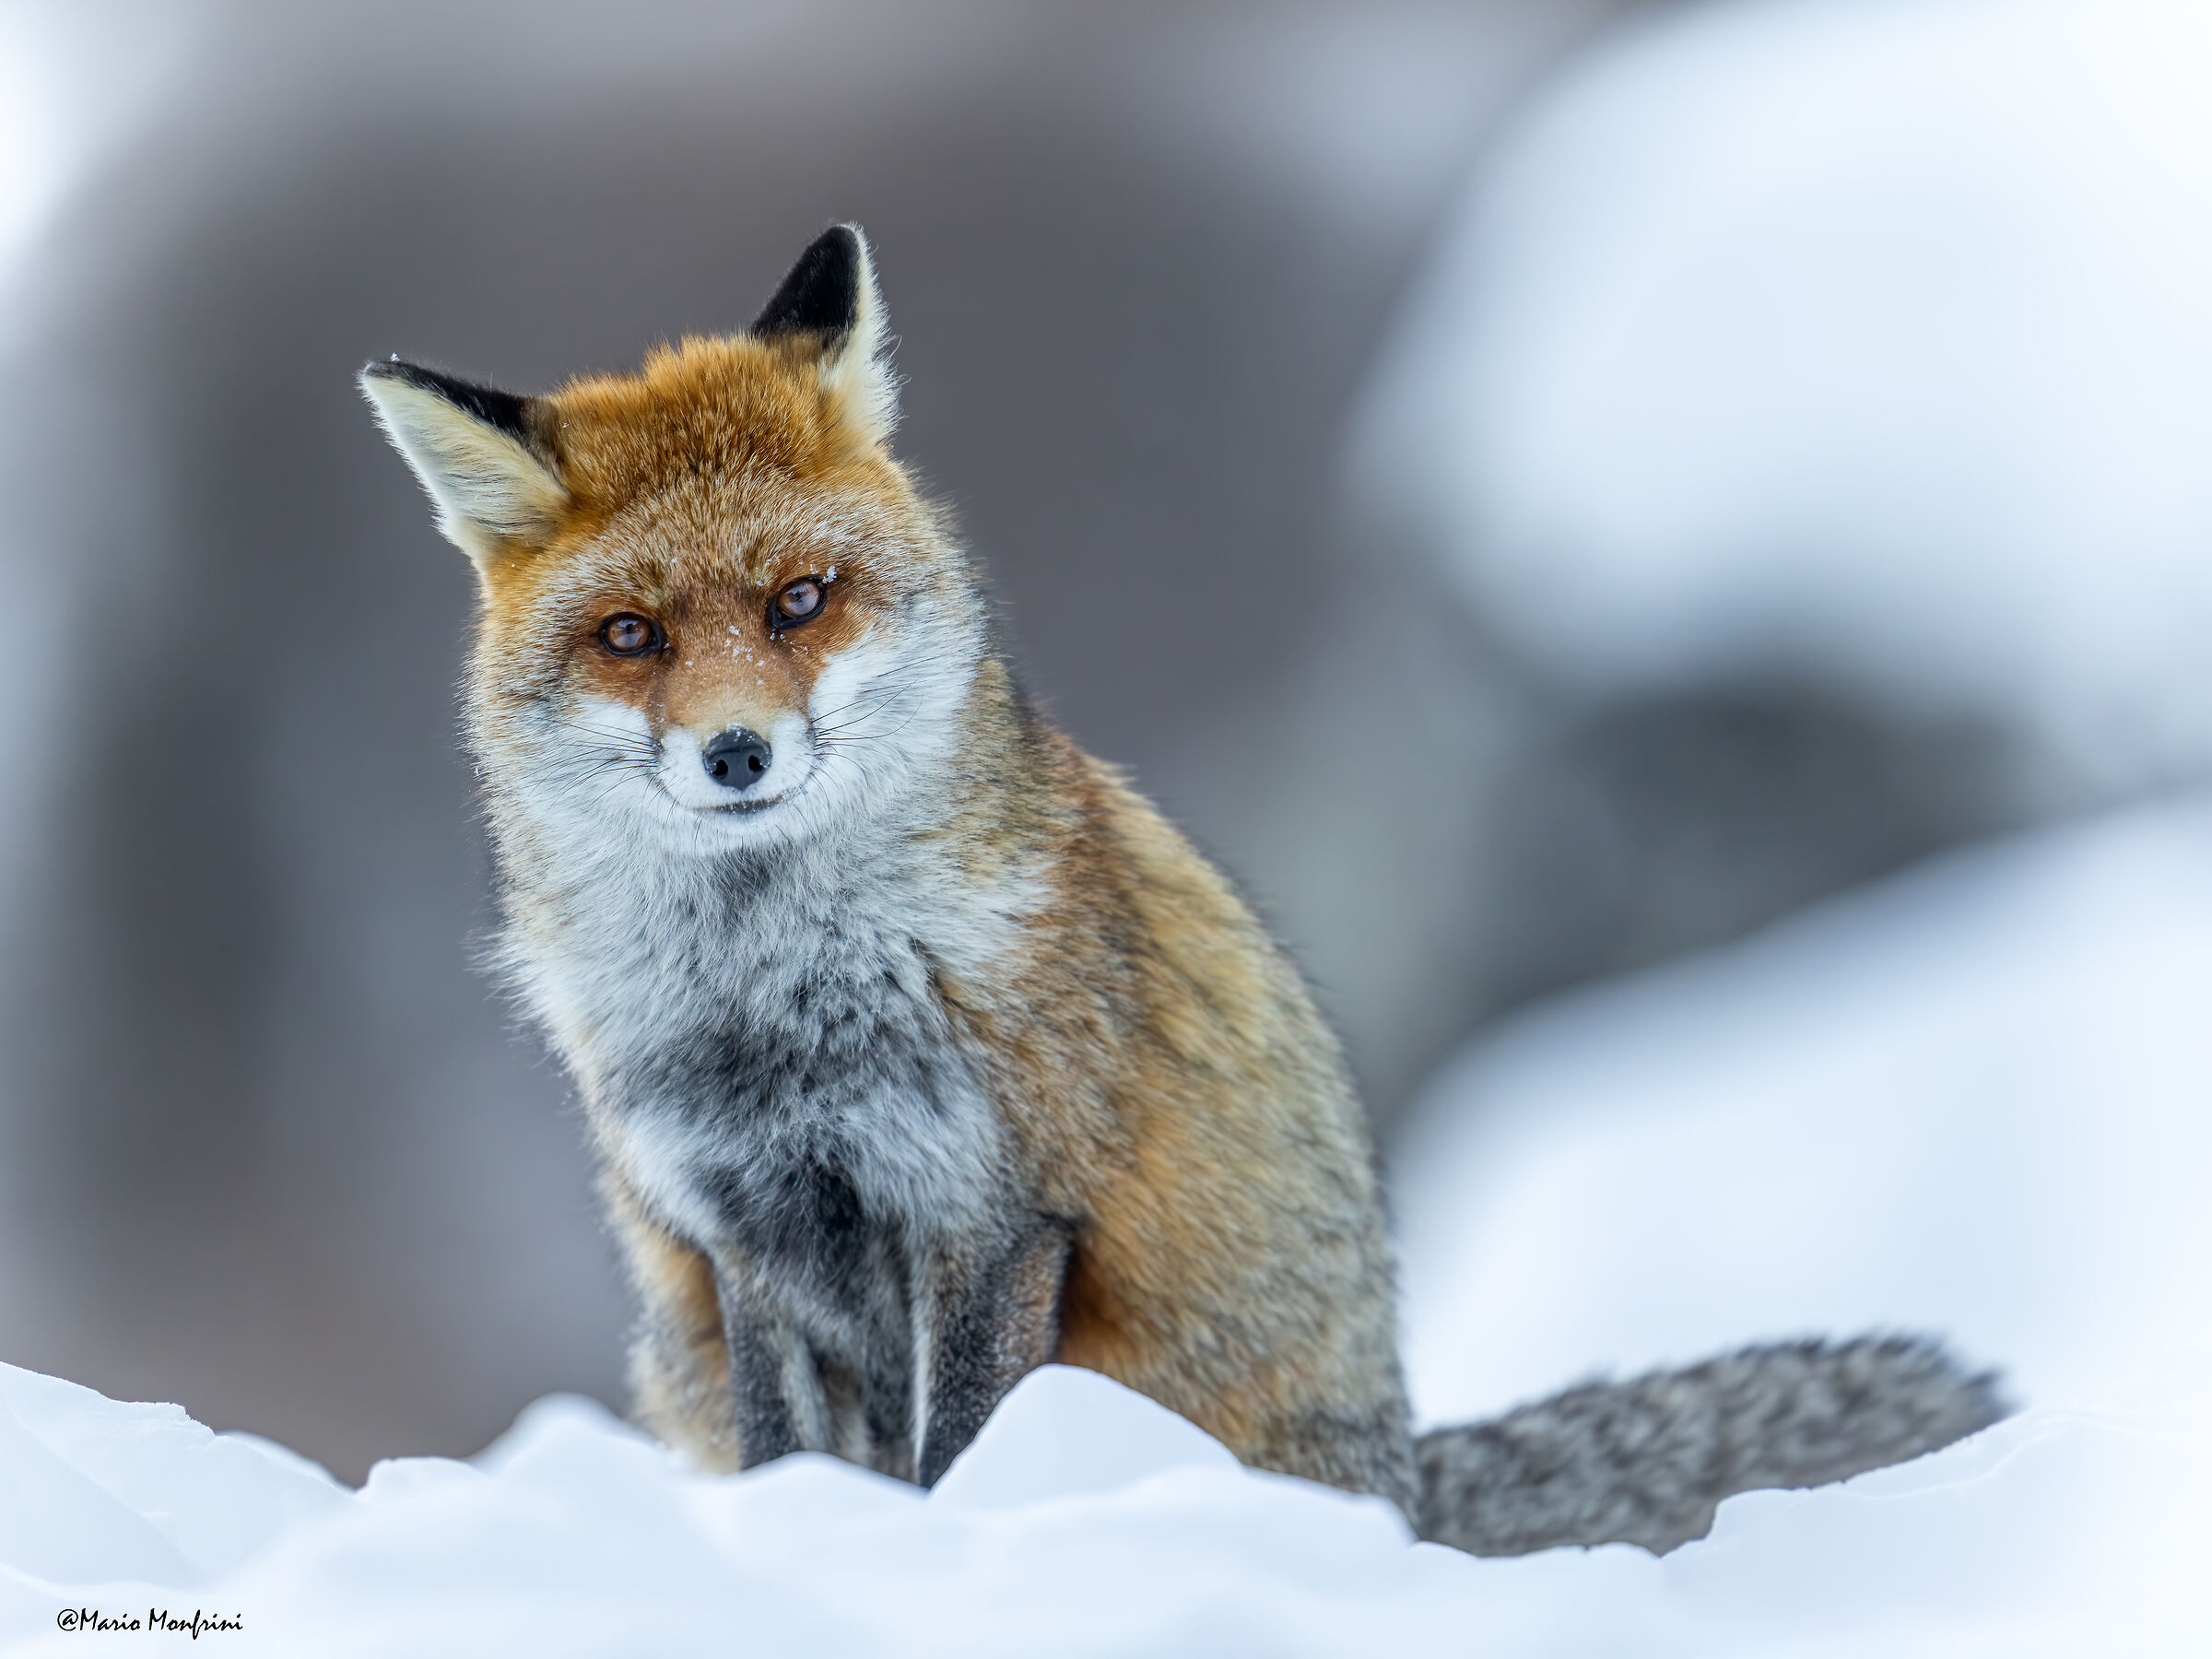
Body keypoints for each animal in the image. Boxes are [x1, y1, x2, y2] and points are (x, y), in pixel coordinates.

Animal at [359, 224, 2004, 1555]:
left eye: (799, 602)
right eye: (632, 636)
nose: (738, 753)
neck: (780, 1006)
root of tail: (1403, 1486)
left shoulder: (995, 1213)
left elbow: (963, 1460)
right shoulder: (740, 1241)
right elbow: (791, 1466)